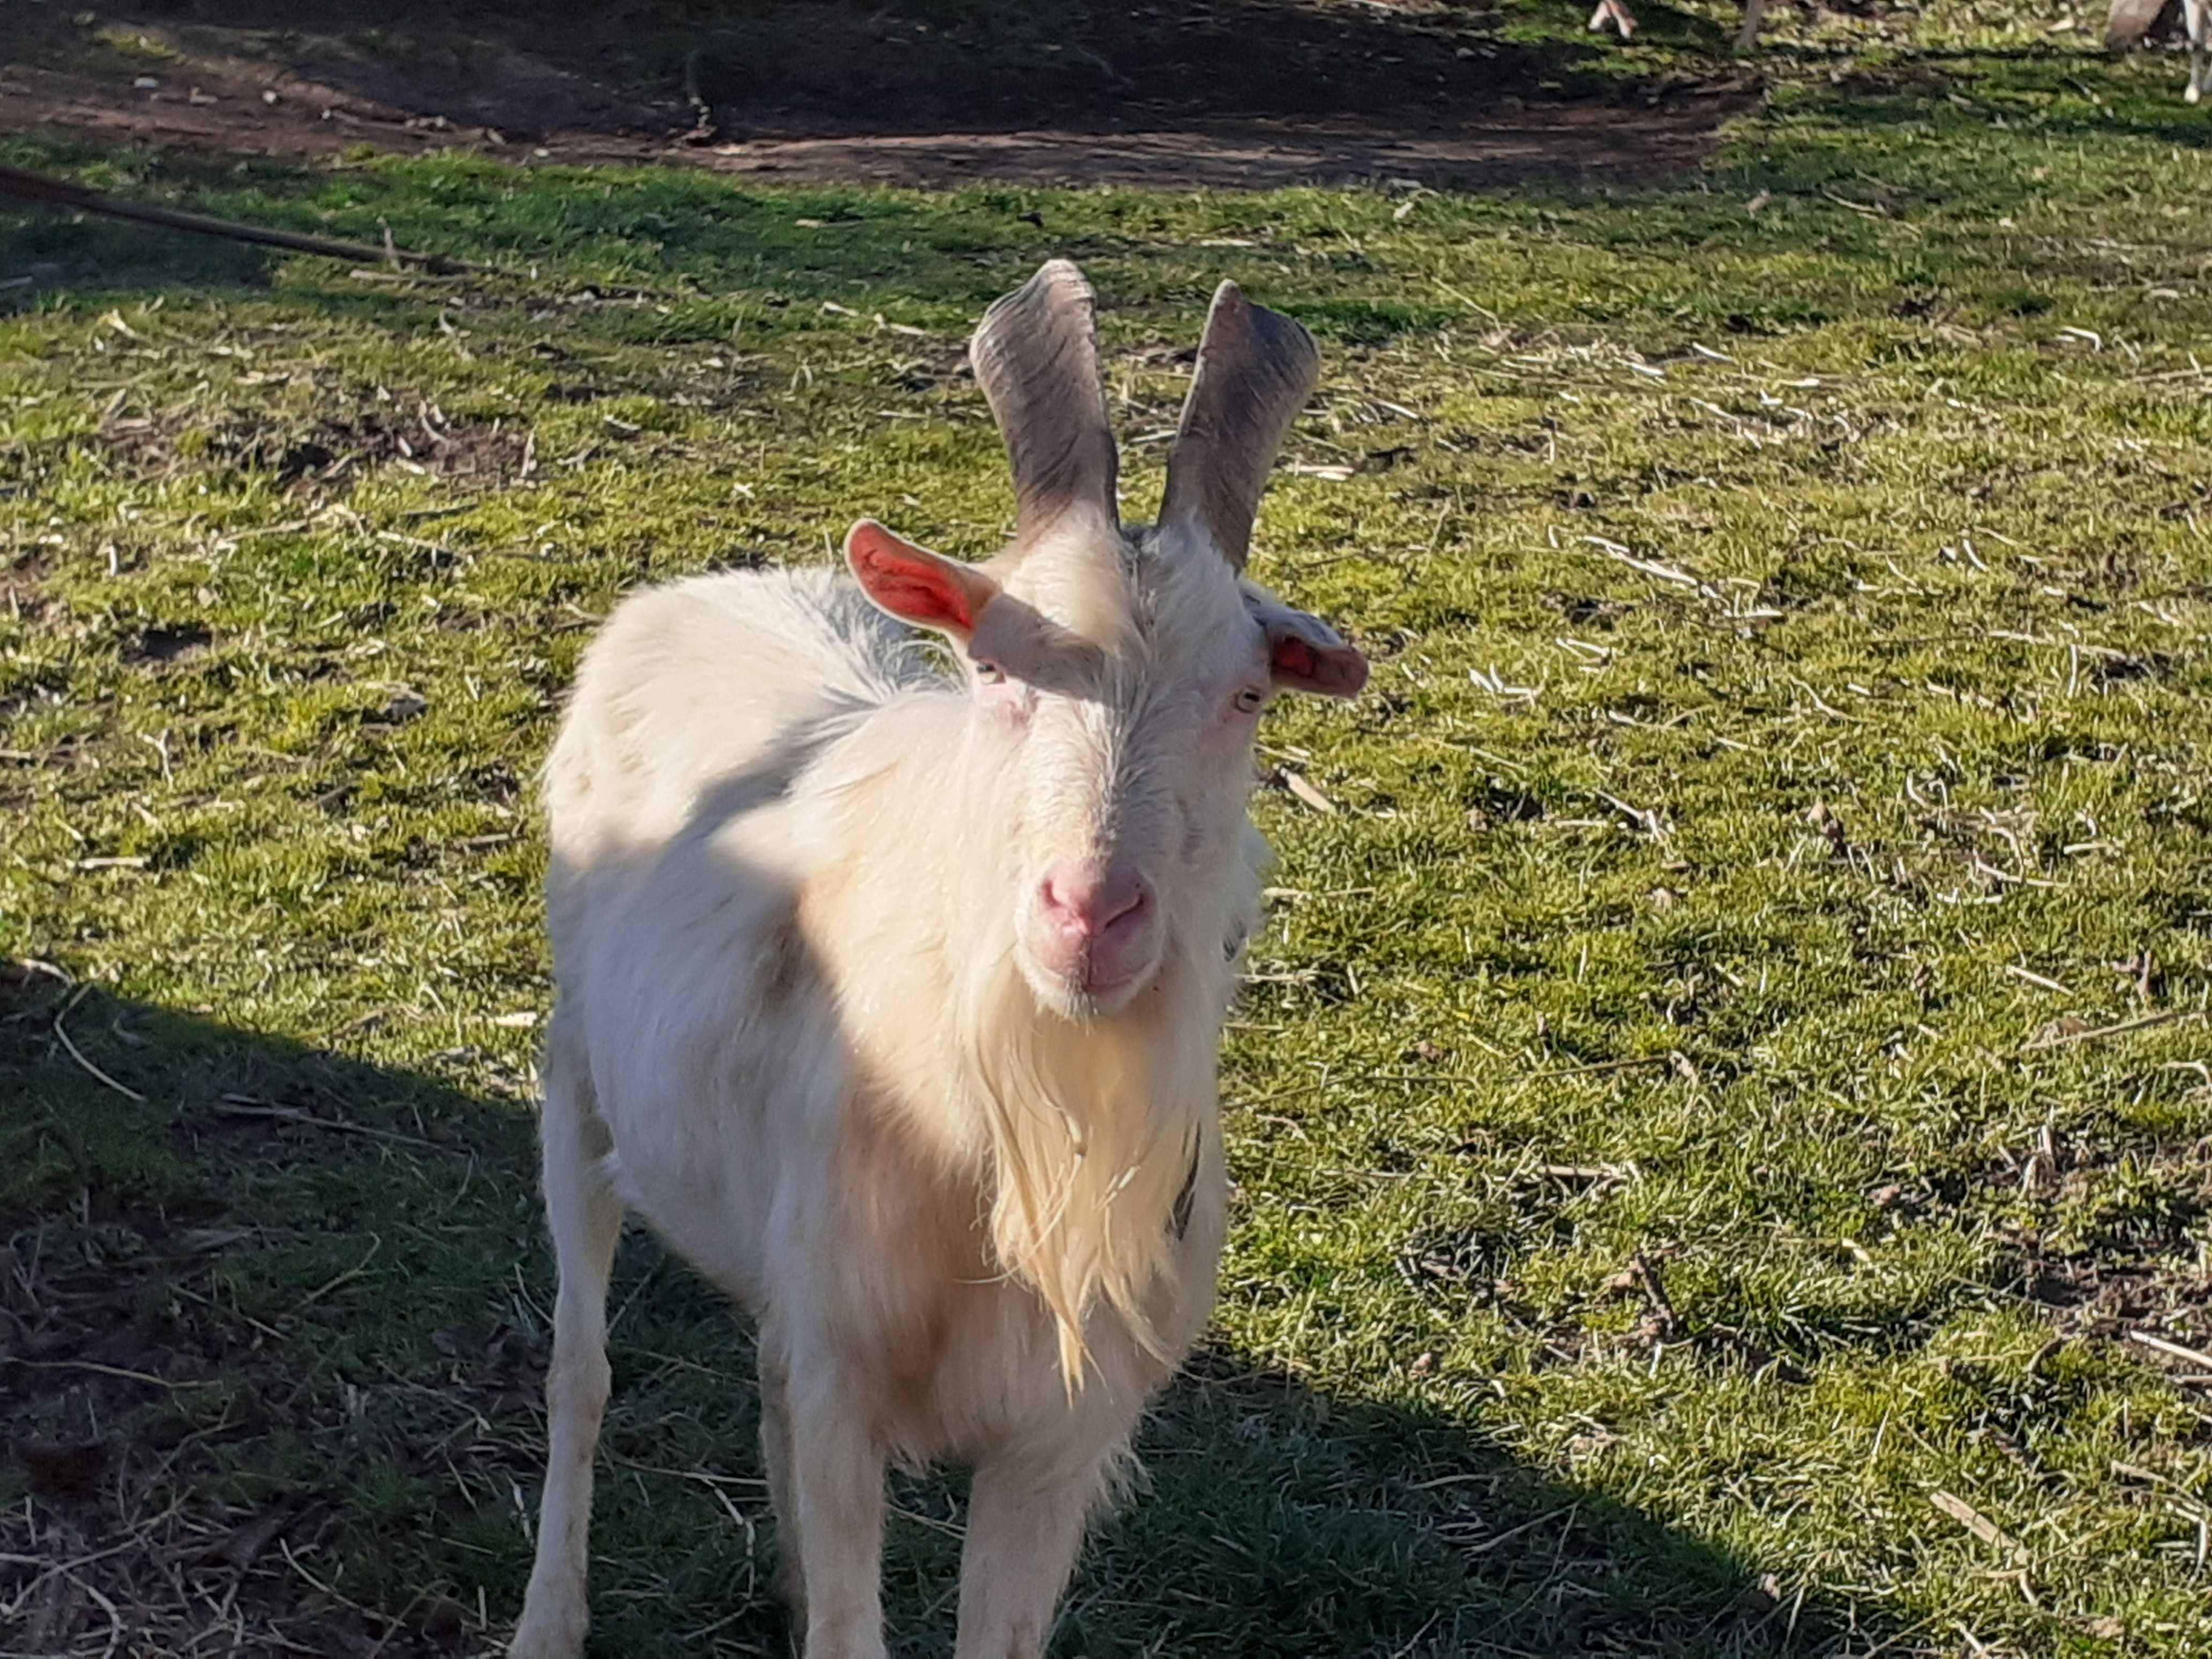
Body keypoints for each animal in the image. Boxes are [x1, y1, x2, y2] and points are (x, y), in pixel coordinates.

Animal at [509, 263, 1362, 1659]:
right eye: (995, 664)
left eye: (1246, 695)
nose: (1090, 911)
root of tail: (695, 589)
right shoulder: (850, 1387)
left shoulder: (1053, 1440)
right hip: (578, 1083)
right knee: (580, 1369)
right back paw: (547, 1619)